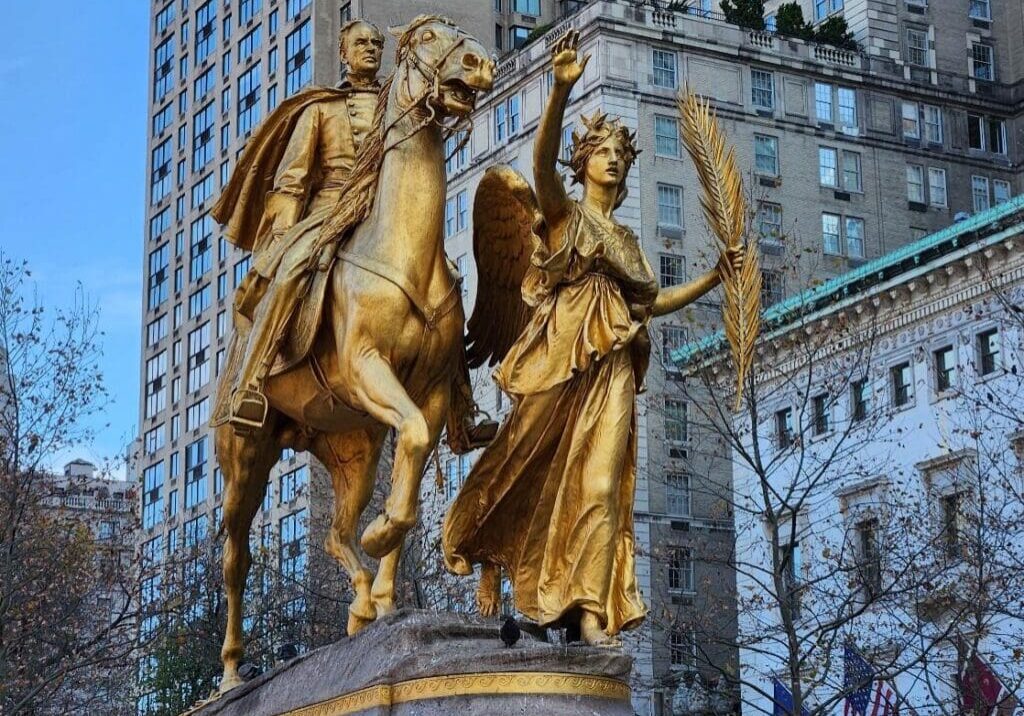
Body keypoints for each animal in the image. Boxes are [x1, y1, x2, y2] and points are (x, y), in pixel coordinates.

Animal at [214, 15, 493, 688]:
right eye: (426, 40)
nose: (479, 64)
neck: (403, 250)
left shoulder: (430, 395)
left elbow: (412, 468)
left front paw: (389, 595)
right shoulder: (368, 369)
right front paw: (384, 539)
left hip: (352, 446)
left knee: (335, 533)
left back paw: (363, 602)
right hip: (245, 456)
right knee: (236, 558)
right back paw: (232, 673)